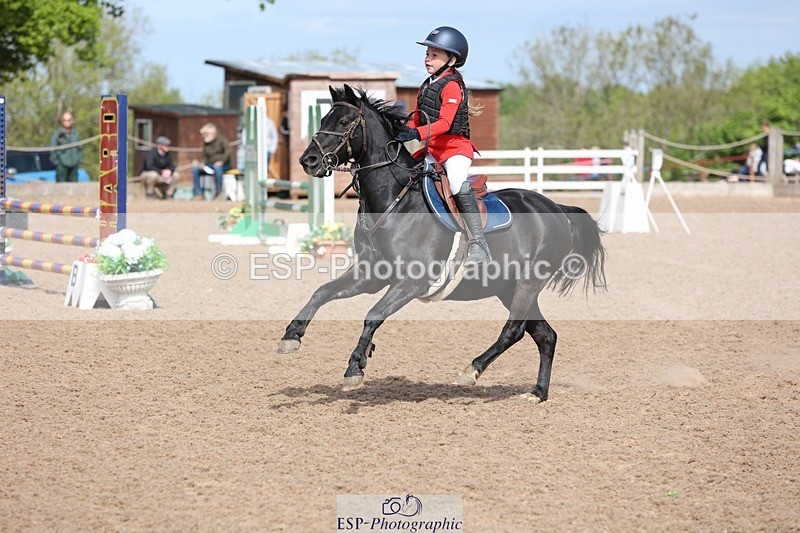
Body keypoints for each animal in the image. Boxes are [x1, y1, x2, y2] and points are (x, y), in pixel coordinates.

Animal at [278, 84, 606, 403]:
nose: (308, 161)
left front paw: (355, 366)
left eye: (344, 123)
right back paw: (537, 393)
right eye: (323, 120)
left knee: (514, 330)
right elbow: (322, 292)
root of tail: (556, 207)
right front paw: (291, 336)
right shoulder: (370, 274)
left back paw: (471, 370)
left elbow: (373, 315)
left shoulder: (411, 282)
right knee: (545, 335)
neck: (395, 200)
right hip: (508, 287)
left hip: (528, 283)